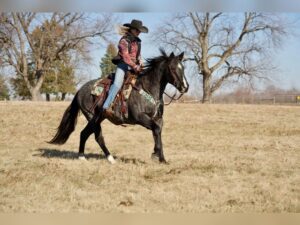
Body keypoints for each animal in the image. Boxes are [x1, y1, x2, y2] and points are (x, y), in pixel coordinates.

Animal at [49, 49, 190, 163]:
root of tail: (80, 91)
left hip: (98, 118)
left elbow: (158, 132)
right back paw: (110, 158)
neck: (148, 88)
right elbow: (155, 129)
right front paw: (156, 154)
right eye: (172, 68)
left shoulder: (158, 118)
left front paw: (162, 158)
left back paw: (82, 156)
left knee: (84, 134)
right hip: (93, 118)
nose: (185, 87)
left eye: (183, 68)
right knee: (98, 137)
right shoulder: (141, 118)